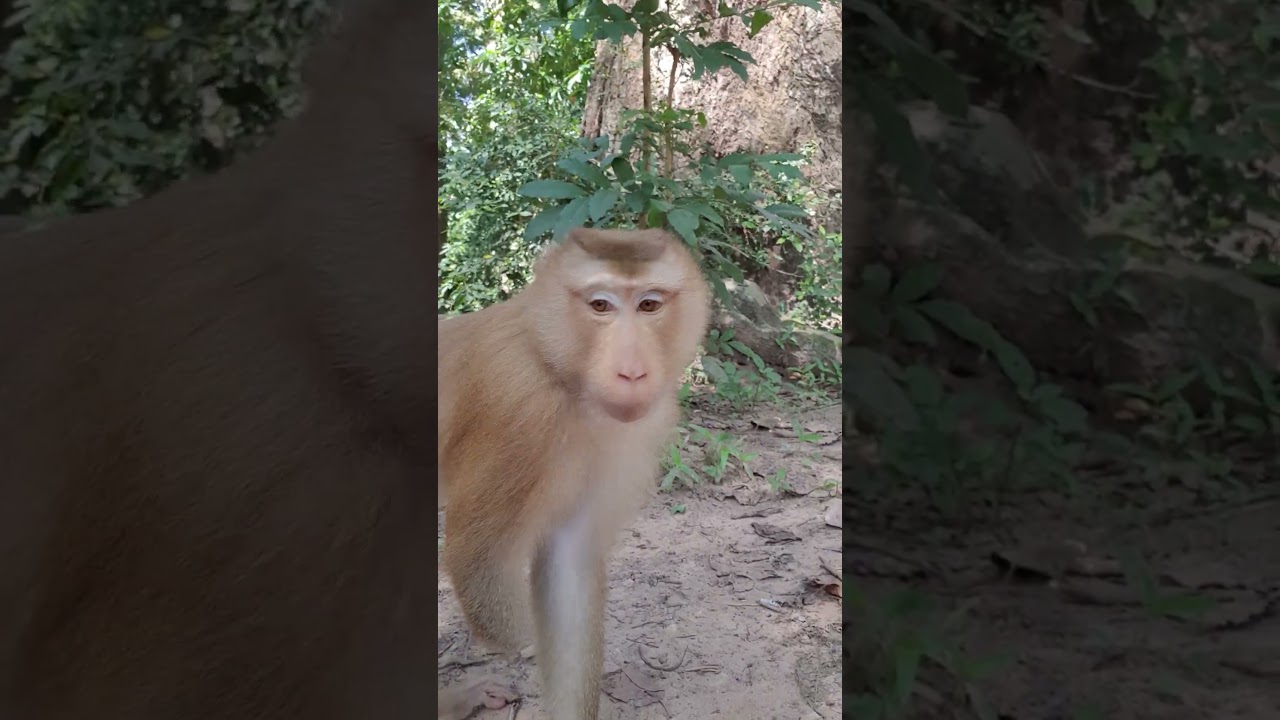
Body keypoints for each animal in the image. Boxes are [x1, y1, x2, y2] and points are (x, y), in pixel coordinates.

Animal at [438, 226, 711, 719]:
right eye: (600, 305)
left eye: (650, 305)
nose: (632, 373)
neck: (555, 365)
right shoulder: (520, 411)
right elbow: (476, 559)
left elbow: (568, 559)